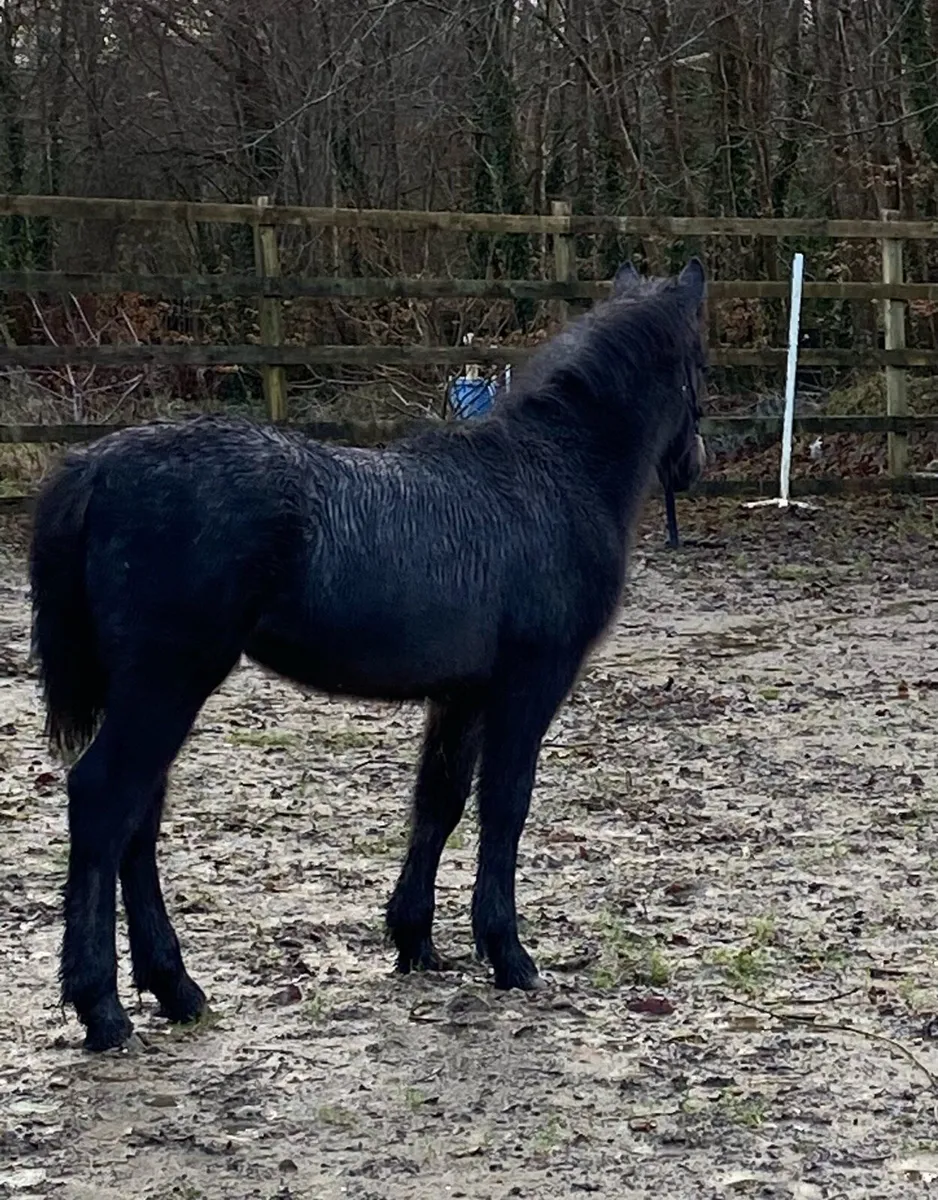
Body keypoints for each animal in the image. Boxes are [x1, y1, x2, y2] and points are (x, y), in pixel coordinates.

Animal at [29, 256, 708, 1052]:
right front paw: (508, 953)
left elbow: (439, 802)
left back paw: (175, 988)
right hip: (164, 685)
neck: (549, 479)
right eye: (699, 364)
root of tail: (95, 464)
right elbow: (505, 805)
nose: (693, 465)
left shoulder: (461, 694)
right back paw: (103, 1008)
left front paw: (415, 940)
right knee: (105, 802)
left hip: (151, 691)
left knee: (139, 817)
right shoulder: (529, 684)